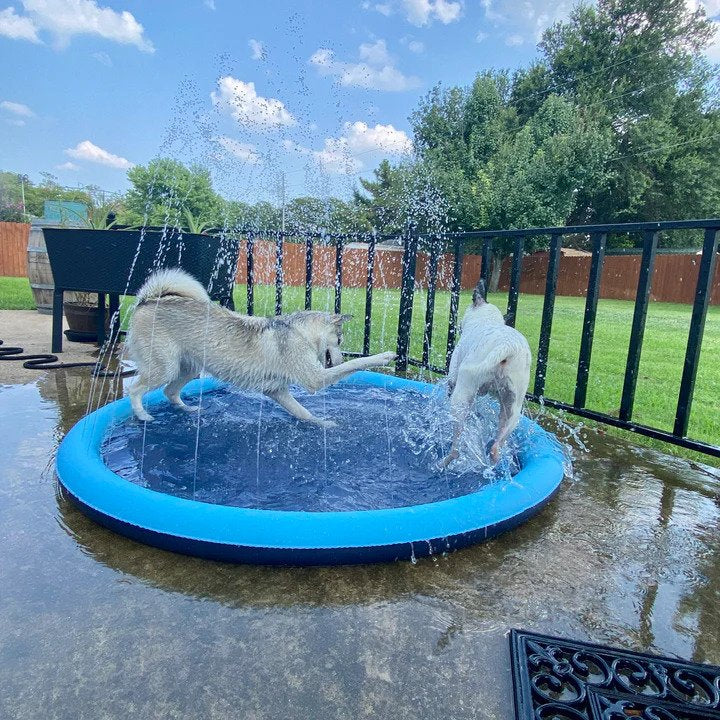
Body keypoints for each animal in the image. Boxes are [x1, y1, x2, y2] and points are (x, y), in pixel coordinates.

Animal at [124, 270, 394, 428]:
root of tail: (148, 300)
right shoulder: (314, 379)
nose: (336, 360)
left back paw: (188, 409)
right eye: (339, 340)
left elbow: (303, 412)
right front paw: (384, 356)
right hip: (165, 367)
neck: (301, 333)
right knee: (136, 389)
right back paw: (143, 415)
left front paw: (323, 424)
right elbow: (357, 363)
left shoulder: (278, 391)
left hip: (188, 368)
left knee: (170, 392)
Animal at [442, 278, 532, 464]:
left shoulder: (453, 379)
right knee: (498, 444)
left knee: (456, 445)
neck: (487, 321)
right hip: (512, 408)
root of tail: (508, 346)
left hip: (461, 397)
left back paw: (444, 461)